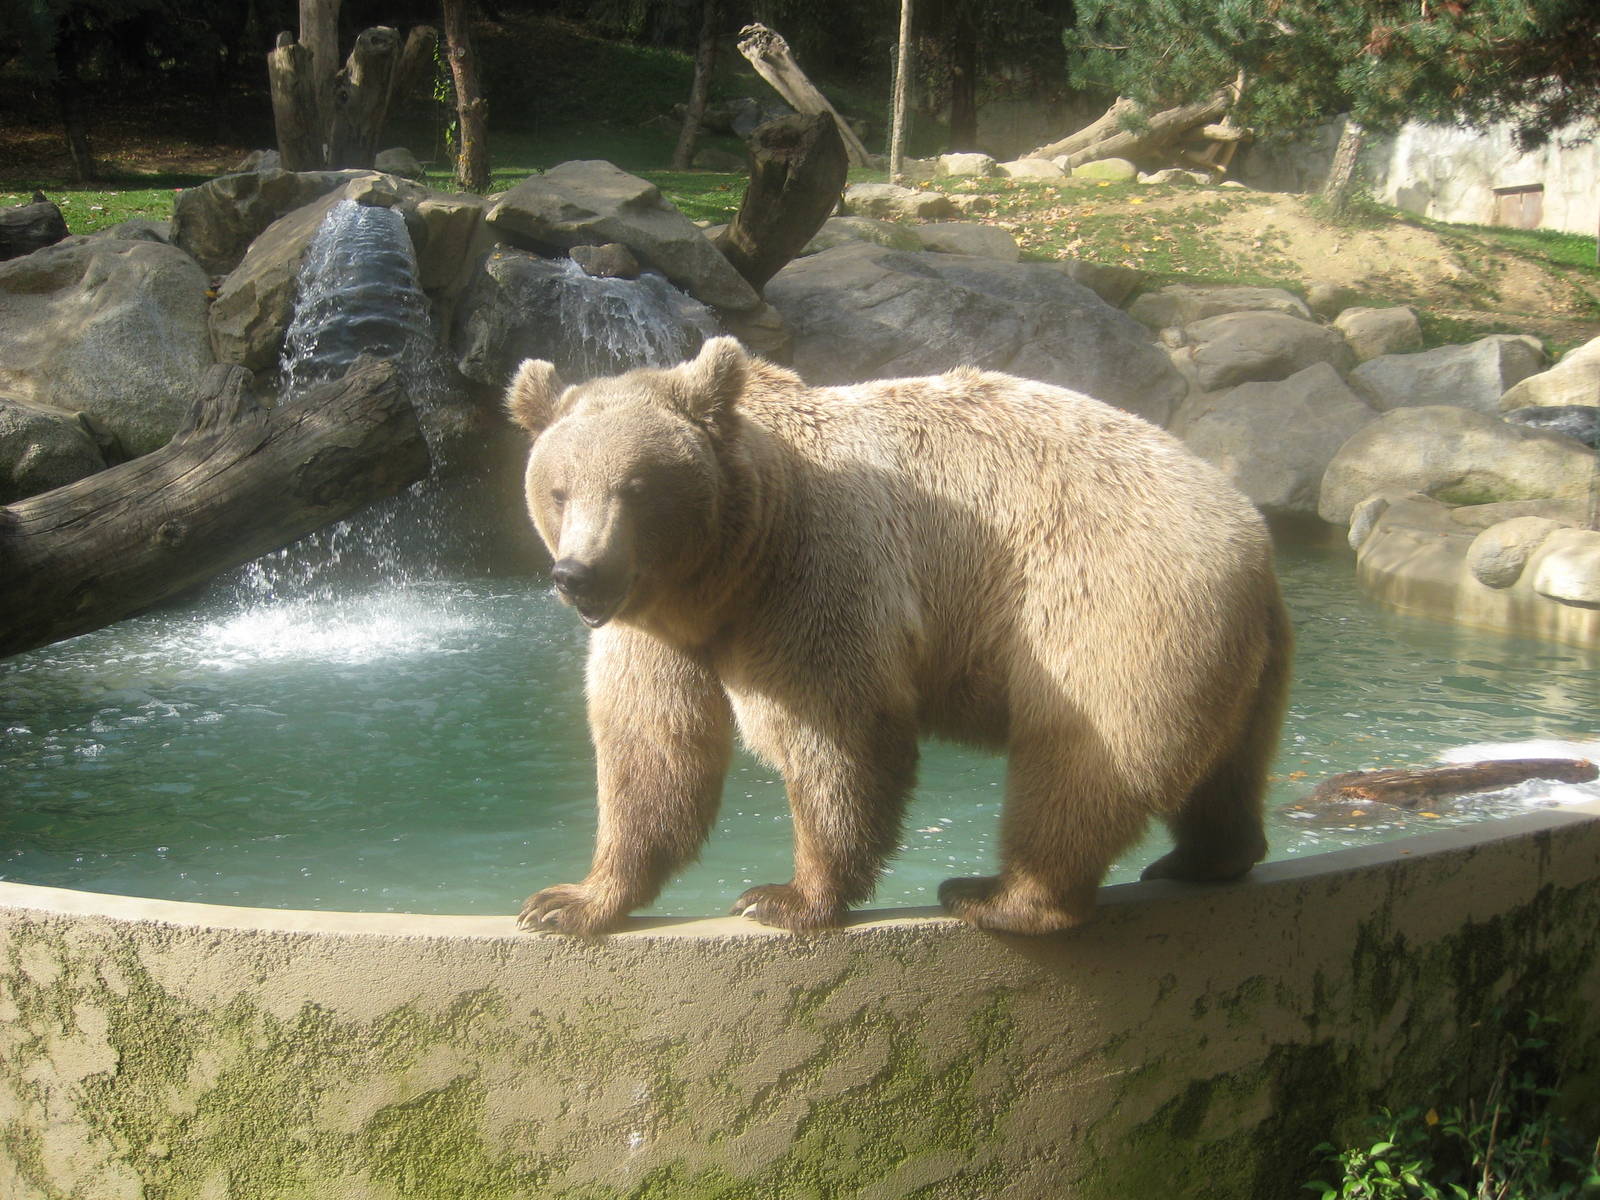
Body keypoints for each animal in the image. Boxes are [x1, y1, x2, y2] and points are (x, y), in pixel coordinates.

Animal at [503, 336, 1291, 936]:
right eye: (559, 489)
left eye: (636, 488)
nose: (579, 574)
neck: (729, 568)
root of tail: (1252, 536)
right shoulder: (656, 628)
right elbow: (653, 750)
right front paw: (568, 900)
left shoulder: (816, 572)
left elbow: (836, 735)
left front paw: (785, 895)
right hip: (1243, 657)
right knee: (1226, 763)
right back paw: (1206, 856)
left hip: (1111, 606)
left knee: (1081, 758)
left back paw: (998, 895)